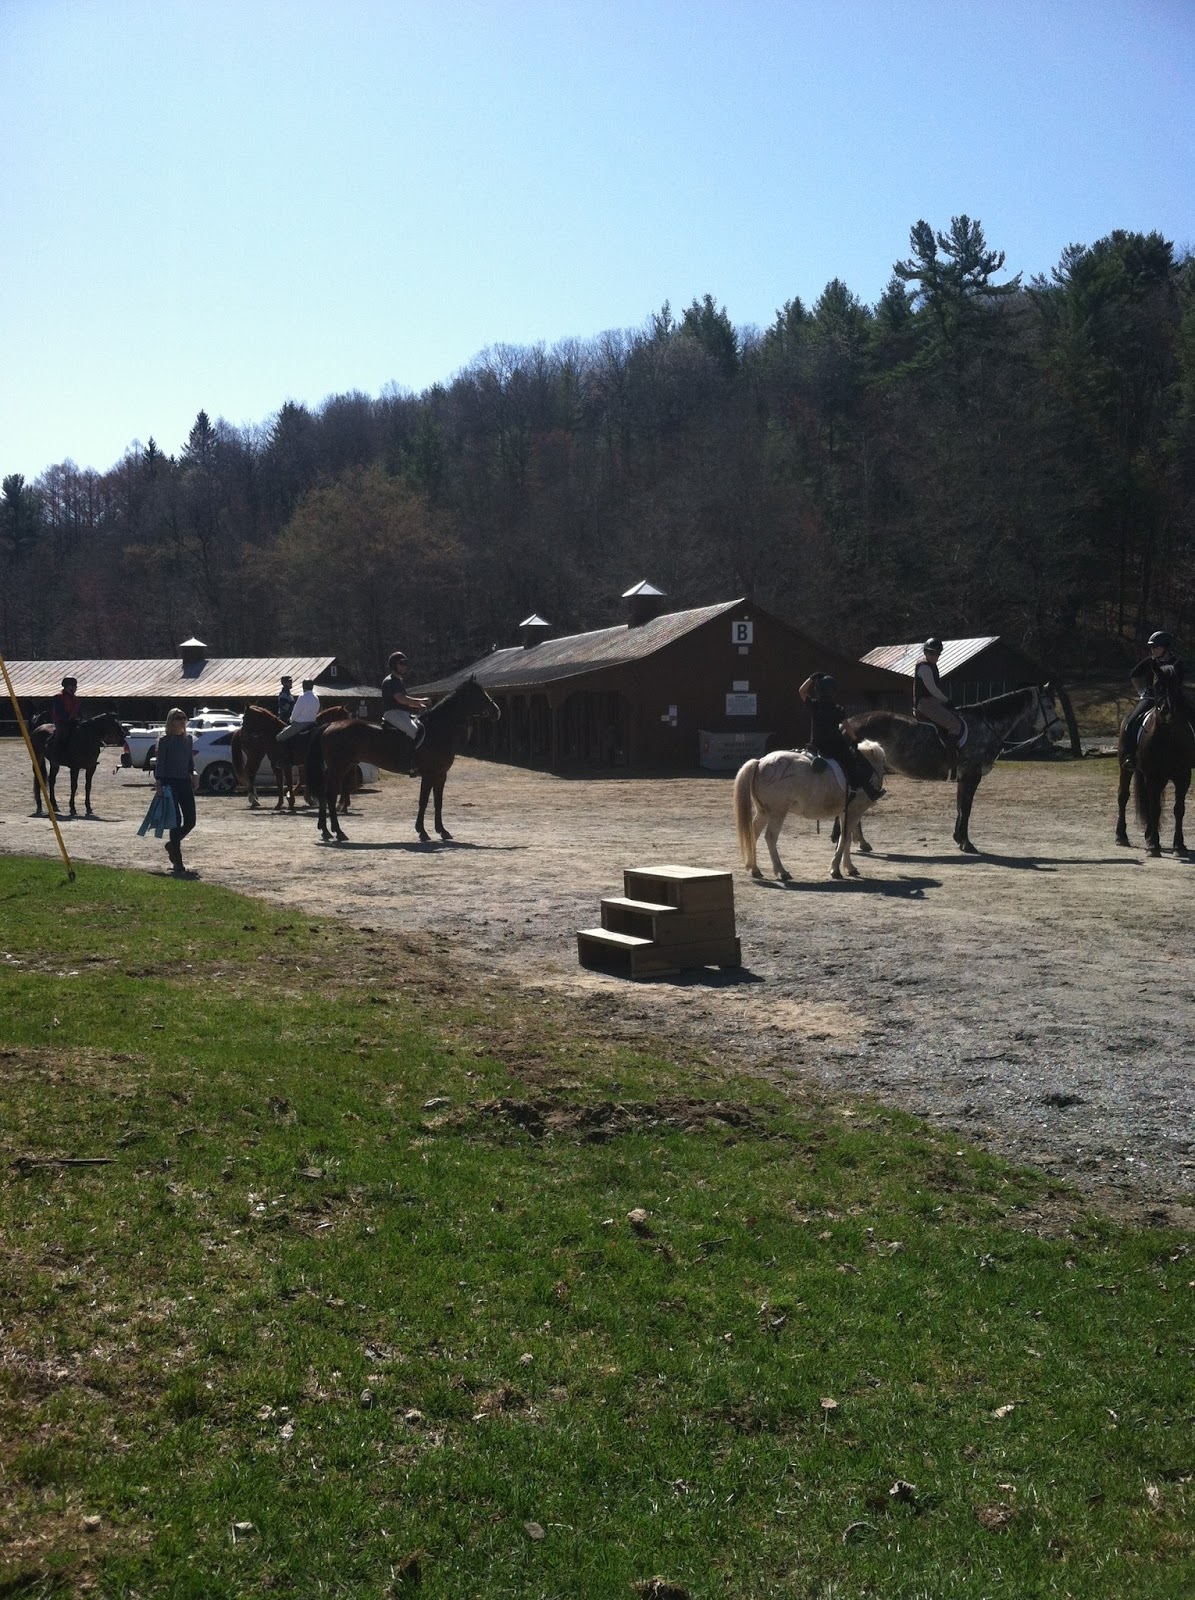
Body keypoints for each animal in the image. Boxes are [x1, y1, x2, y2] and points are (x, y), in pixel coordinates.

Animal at [307, 675, 501, 843]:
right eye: (478, 693)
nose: (497, 712)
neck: (438, 729)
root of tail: (329, 725)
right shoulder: (429, 774)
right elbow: (424, 801)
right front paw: (422, 832)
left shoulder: (440, 775)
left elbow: (438, 802)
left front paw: (442, 831)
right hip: (339, 768)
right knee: (330, 795)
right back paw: (338, 832)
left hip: (337, 768)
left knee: (325, 794)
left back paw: (326, 831)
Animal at [733, 740, 887, 881]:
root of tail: (760, 762)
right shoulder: (855, 812)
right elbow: (843, 839)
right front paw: (835, 870)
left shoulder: (845, 813)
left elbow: (846, 839)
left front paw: (849, 867)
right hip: (777, 812)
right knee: (770, 837)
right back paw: (782, 871)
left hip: (764, 812)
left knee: (753, 834)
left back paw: (755, 869)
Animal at [843, 684, 1067, 855]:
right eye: (1048, 705)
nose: (1059, 732)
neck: (985, 725)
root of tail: (848, 723)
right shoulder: (971, 776)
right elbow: (966, 808)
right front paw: (966, 843)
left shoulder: (964, 778)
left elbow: (960, 807)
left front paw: (959, 839)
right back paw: (861, 842)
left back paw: (861, 842)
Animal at [1115, 699, 1193, 857]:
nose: (1168, 713)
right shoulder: (1152, 777)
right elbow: (1155, 809)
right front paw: (1153, 845)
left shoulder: (1183, 777)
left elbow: (1179, 809)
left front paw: (1179, 846)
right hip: (1126, 768)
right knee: (1123, 796)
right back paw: (1121, 836)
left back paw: (1147, 835)